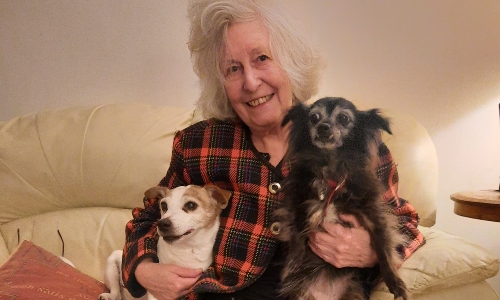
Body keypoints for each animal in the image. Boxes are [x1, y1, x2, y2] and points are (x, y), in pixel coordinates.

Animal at [99, 185, 232, 300]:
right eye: (163, 205)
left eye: (190, 205)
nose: (162, 223)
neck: (186, 249)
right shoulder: (156, 290)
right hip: (112, 263)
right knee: (116, 292)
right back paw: (109, 296)